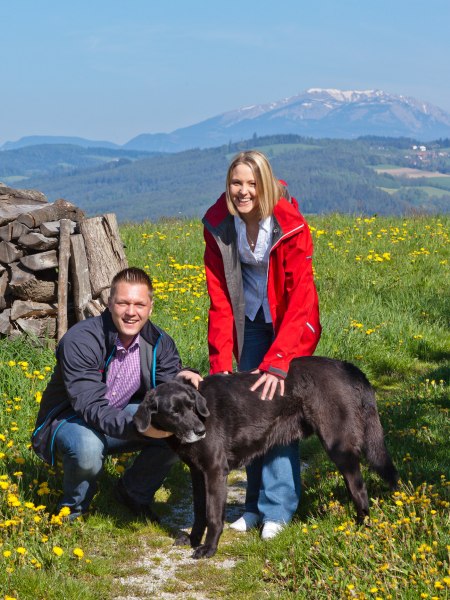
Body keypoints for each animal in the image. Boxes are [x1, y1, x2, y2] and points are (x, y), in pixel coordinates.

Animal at [133, 356, 398, 556]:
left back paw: (361, 529)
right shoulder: (197, 473)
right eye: (174, 412)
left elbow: (213, 515)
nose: (200, 430)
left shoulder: (216, 471)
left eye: (191, 406)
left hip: (339, 446)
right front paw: (193, 539)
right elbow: (199, 512)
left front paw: (209, 549)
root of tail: (349, 367)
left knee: (359, 489)